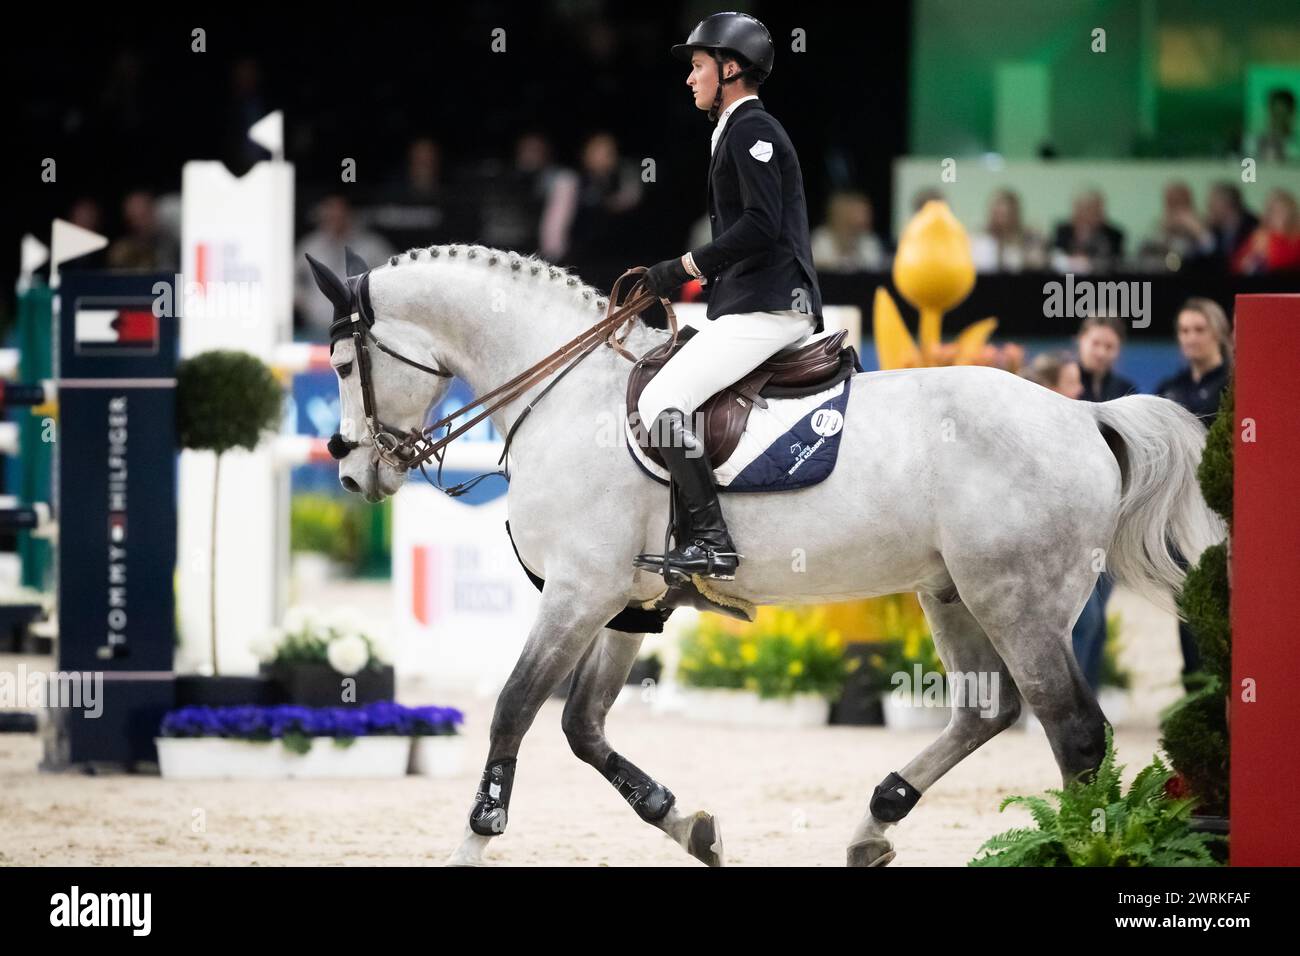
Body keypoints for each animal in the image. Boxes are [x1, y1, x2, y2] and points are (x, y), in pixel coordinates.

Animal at [309, 240, 1222, 868]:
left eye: (344, 363)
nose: (350, 470)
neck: (568, 397)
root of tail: (1084, 416)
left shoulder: (576, 592)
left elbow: (514, 709)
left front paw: (475, 837)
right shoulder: (625, 603)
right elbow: (581, 726)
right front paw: (690, 826)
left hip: (1018, 600)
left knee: (1074, 733)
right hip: (953, 591)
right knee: (986, 709)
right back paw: (873, 823)